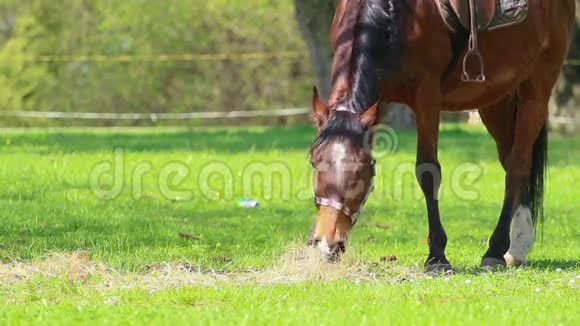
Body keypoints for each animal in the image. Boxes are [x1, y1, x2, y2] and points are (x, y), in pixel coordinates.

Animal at [308, 0, 576, 272]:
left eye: (360, 169)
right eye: (314, 162)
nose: (327, 244)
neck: (396, 16)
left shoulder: (427, 96)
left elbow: (427, 172)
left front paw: (437, 256)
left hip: (537, 89)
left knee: (518, 167)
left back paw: (497, 250)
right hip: (496, 98)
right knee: (511, 160)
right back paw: (518, 245)